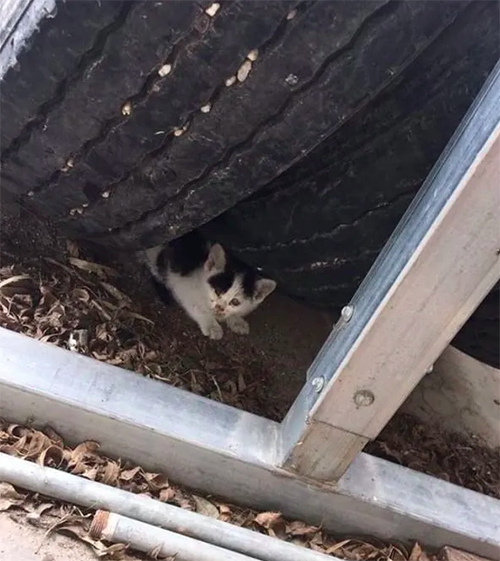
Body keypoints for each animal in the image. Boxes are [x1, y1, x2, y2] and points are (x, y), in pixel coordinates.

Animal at [143, 231, 278, 340]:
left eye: (235, 302)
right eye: (217, 291)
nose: (219, 307)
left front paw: (236, 320)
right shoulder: (183, 285)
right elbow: (196, 306)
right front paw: (212, 326)